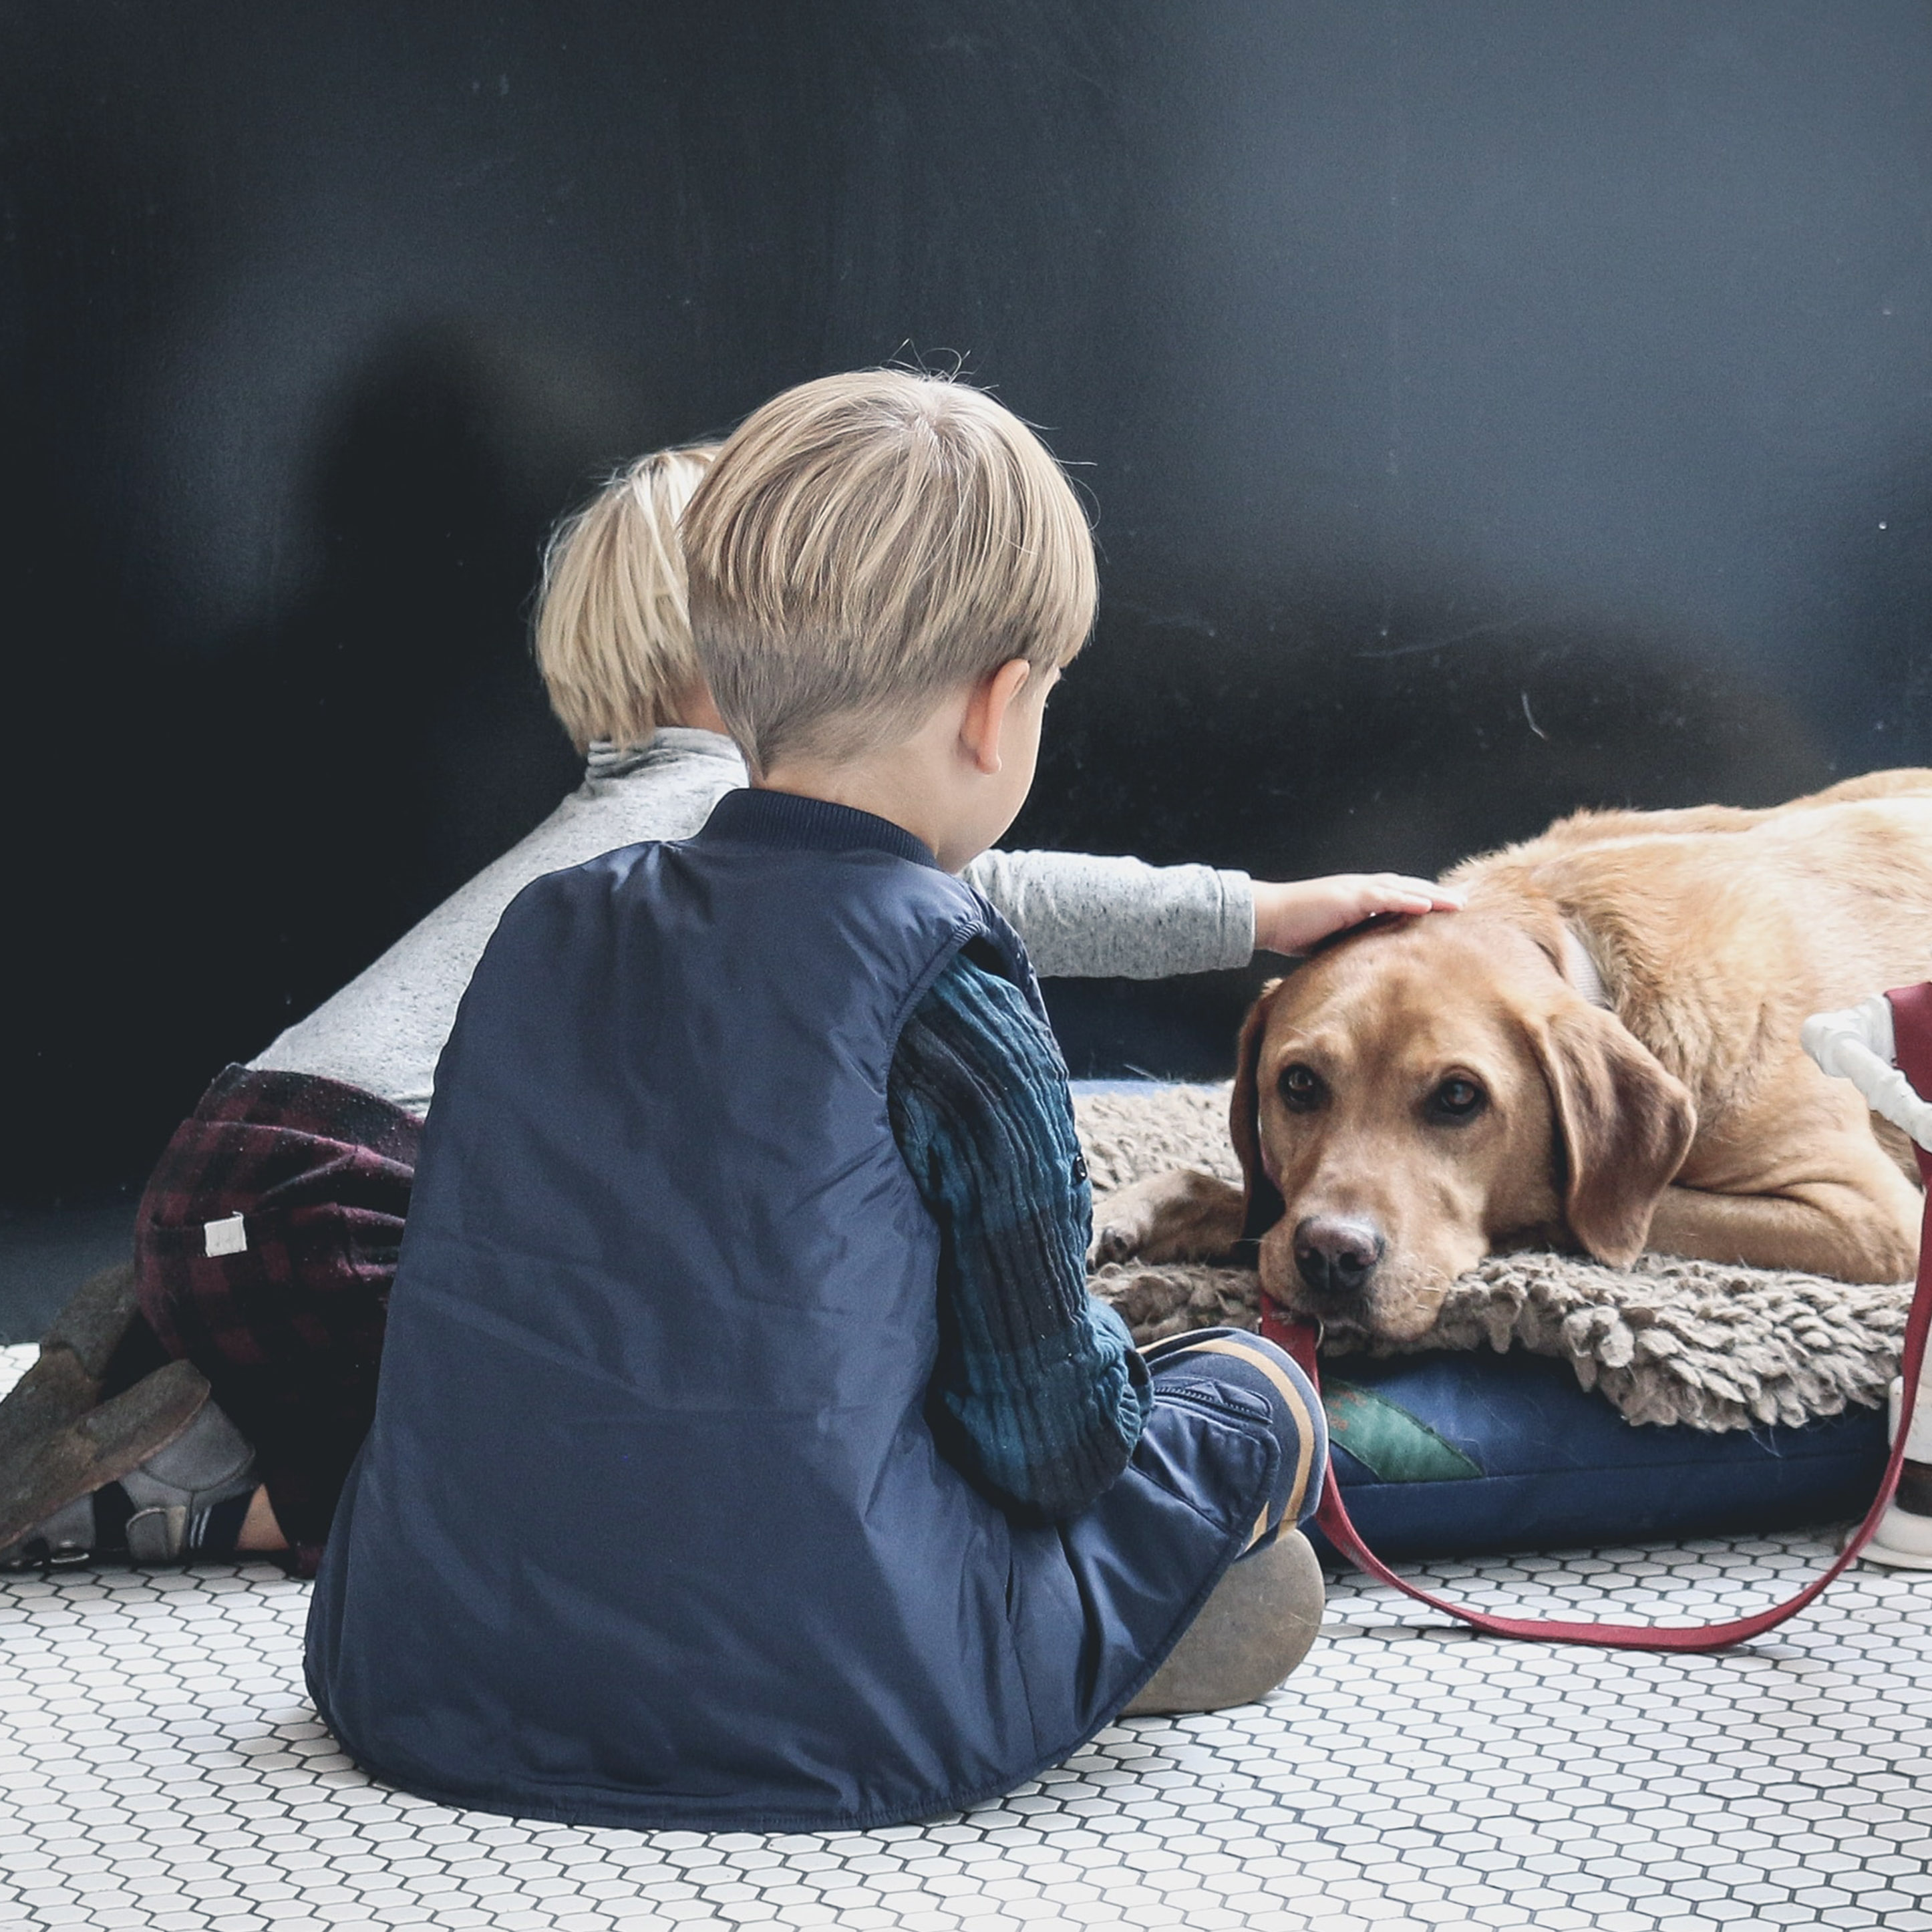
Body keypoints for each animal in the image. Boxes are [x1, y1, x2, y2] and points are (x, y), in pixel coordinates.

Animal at [1097, 769, 1932, 1344]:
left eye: (1459, 1098)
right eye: (1298, 1084)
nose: (1332, 1255)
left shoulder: (1873, 1216)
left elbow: (1582, 1209)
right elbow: (1251, 1197)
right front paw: (1143, 1209)